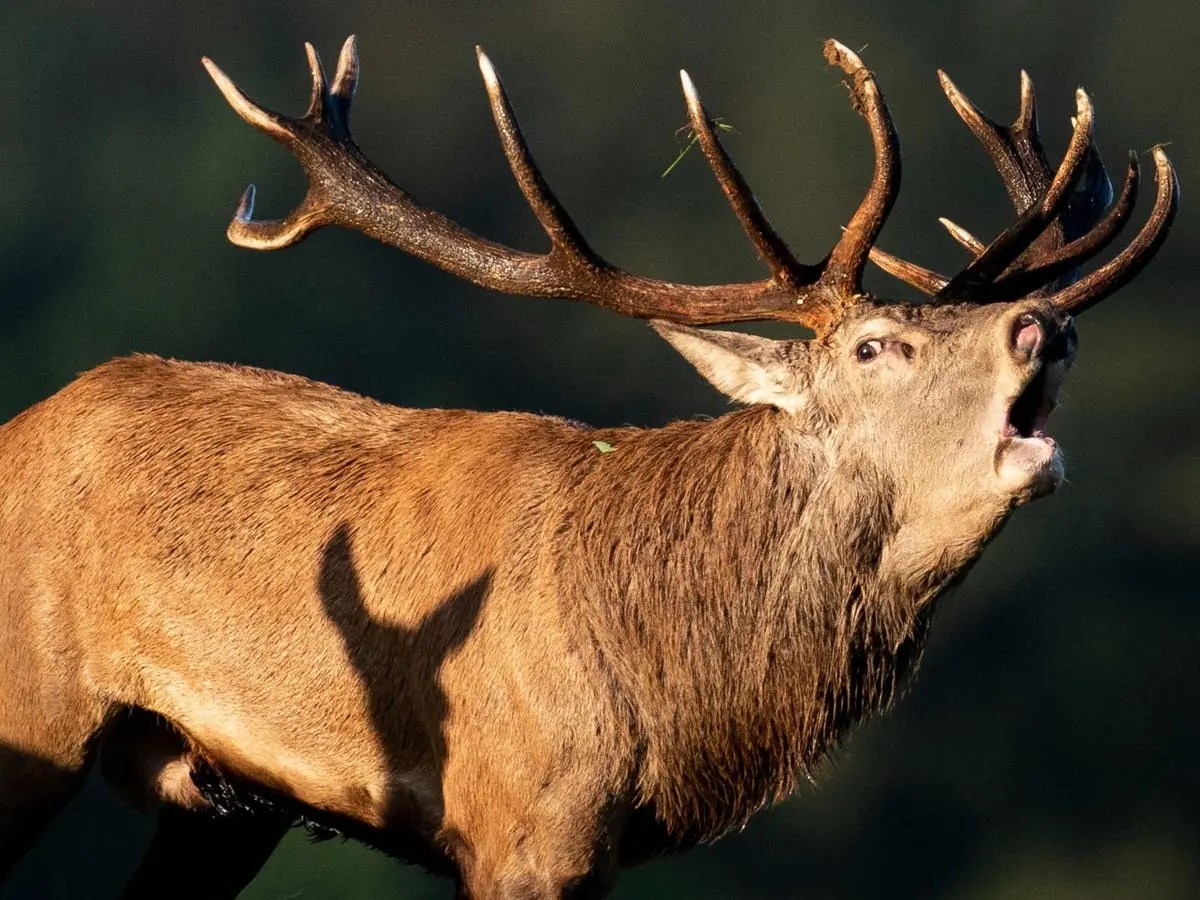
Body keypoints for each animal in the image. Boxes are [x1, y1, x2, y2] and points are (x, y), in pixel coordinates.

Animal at [0, 33, 1177, 899]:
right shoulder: (523, 820)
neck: (667, 683)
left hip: (218, 805)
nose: (1045, 324)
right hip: (33, 711)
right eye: (873, 347)